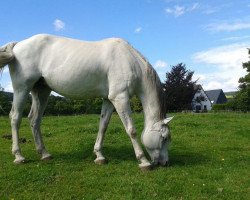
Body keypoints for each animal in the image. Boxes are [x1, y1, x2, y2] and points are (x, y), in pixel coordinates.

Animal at [0, 34, 173, 169]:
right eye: (164, 138)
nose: (165, 163)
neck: (129, 60)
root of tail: (18, 44)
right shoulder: (120, 98)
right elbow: (131, 129)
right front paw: (143, 161)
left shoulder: (109, 100)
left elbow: (103, 126)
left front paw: (99, 155)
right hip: (22, 89)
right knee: (15, 118)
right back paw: (18, 156)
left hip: (41, 92)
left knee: (34, 120)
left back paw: (44, 154)